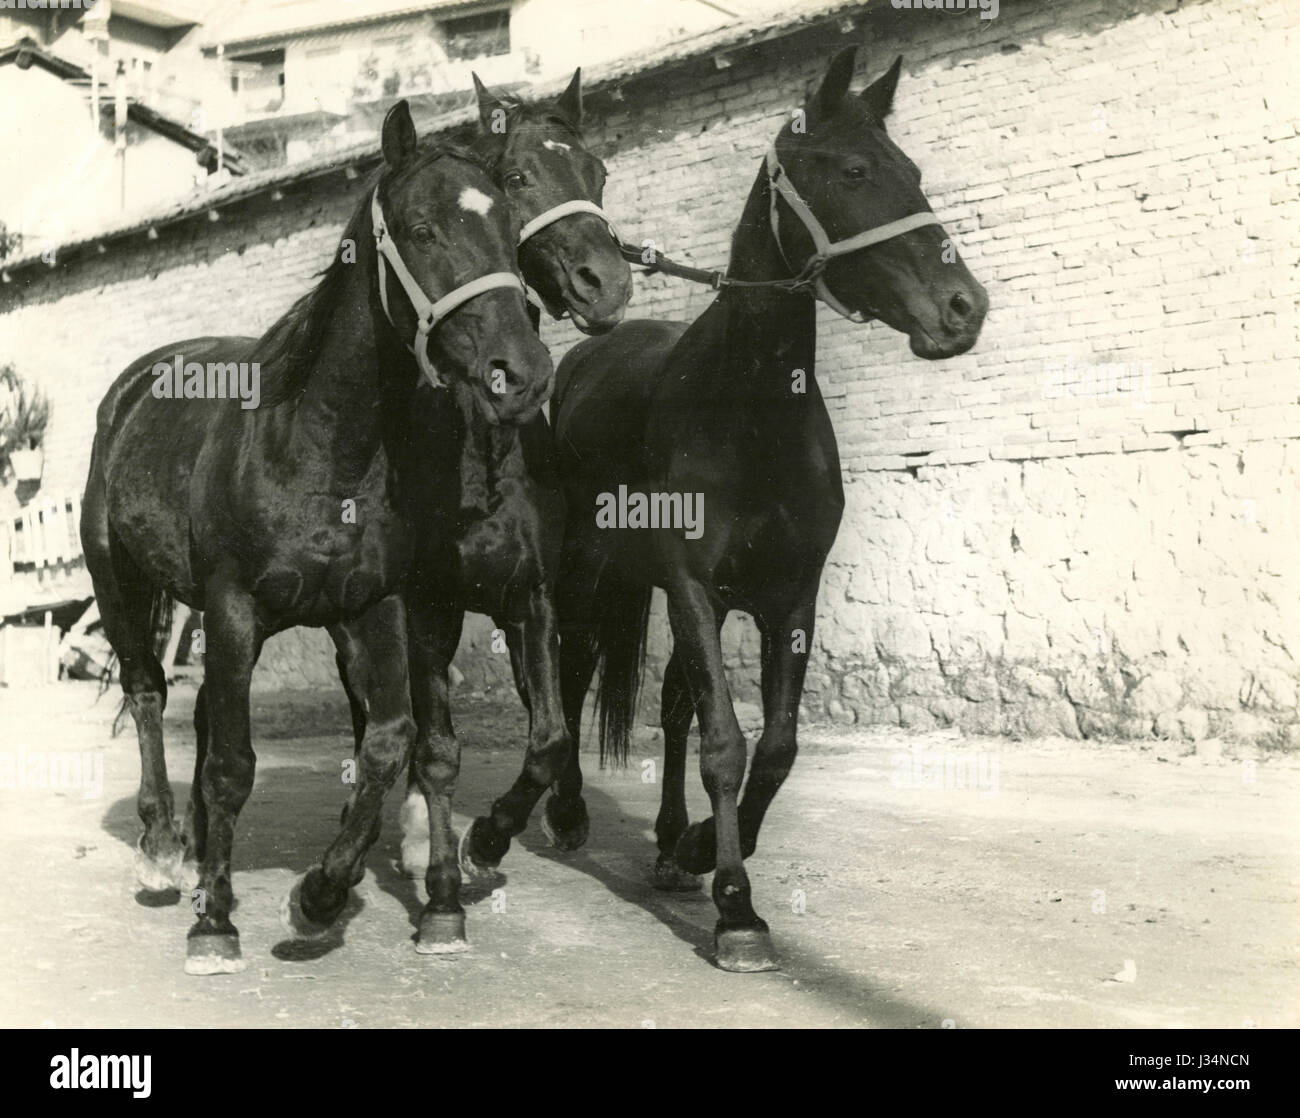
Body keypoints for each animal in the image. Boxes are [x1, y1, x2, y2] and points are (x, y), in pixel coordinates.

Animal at [79, 100, 548, 972]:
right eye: (424, 229)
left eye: (509, 224)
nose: (523, 373)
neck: (320, 447)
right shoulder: (235, 608)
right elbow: (233, 766)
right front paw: (215, 925)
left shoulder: (375, 608)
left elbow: (390, 745)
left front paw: (320, 898)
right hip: (121, 583)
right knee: (150, 696)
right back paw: (162, 852)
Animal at [319, 69, 634, 951]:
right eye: (520, 176)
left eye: (597, 173)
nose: (608, 284)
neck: (476, 449)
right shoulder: (421, 606)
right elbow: (435, 745)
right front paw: (444, 883)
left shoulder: (530, 596)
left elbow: (549, 731)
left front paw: (494, 837)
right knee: (378, 712)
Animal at [546, 48, 982, 967]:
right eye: (852, 172)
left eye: (913, 172)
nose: (966, 309)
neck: (750, 413)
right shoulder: (692, 589)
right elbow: (725, 740)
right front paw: (736, 908)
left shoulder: (789, 598)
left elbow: (775, 746)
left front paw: (700, 851)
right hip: (585, 573)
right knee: (571, 671)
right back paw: (564, 811)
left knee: (671, 704)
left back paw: (668, 846)